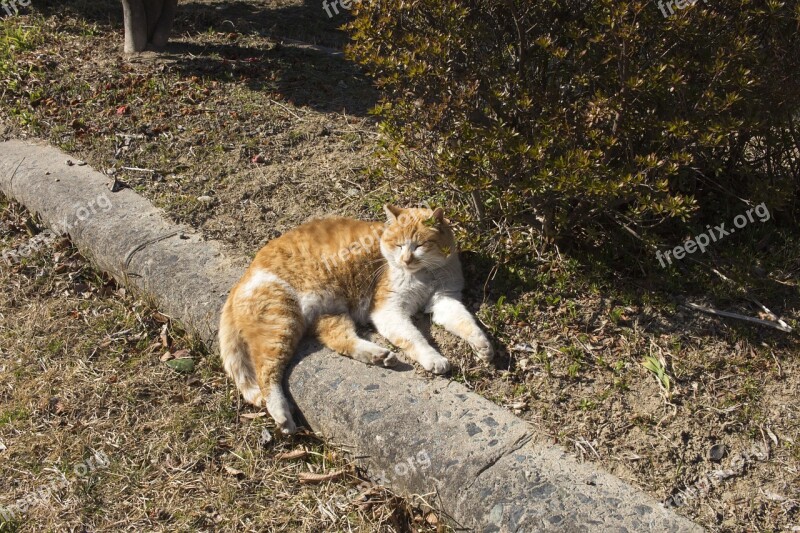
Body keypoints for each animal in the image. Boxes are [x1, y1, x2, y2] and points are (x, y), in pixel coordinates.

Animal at [220, 206, 494, 434]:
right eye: (398, 245)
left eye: (419, 245)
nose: (406, 259)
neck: (424, 274)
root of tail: (240, 281)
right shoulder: (389, 310)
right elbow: (414, 338)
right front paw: (434, 358)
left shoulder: (444, 300)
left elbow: (466, 322)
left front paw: (483, 347)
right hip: (281, 322)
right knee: (267, 374)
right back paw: (282, 415)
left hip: (330, 314)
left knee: (340, 341)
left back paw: (379, 356)